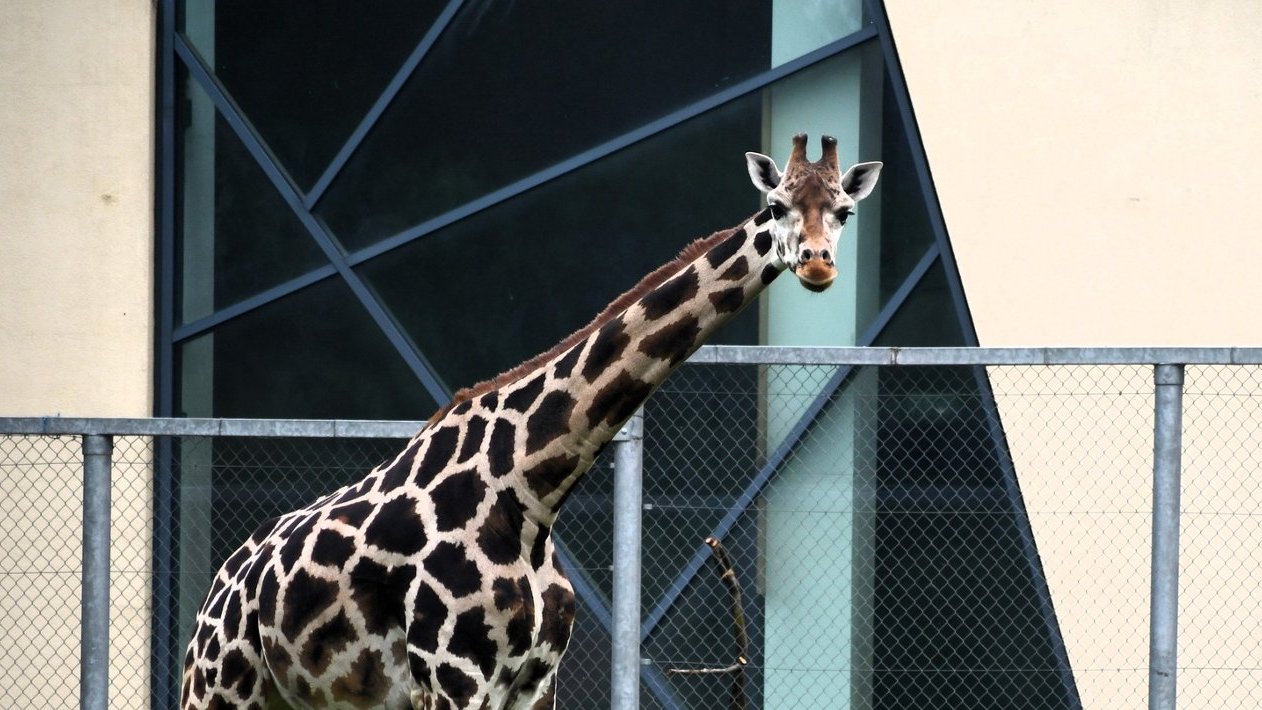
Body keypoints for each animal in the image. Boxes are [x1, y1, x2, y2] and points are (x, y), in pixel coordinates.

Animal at [182, 134, 883, 710]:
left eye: (845, 212)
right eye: (778, 207)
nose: (818, 263)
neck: (531, 493)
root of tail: (216, 589)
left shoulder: (533, 685)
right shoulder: (451, 677)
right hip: (220, 687)